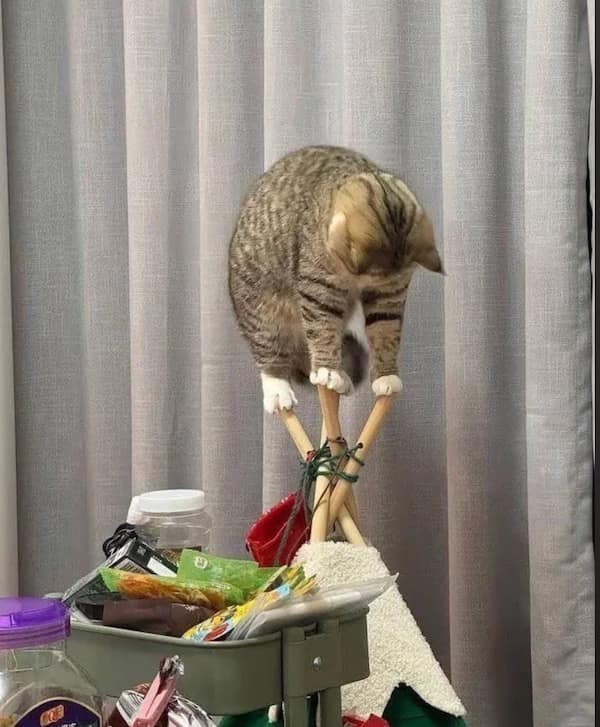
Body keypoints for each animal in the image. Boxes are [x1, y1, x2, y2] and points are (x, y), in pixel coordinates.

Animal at [228, 145, 443, 413]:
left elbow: (386, 330)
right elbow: (322, 327)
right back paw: (280, 388)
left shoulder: (390, 294)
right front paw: (327, 369)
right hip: (263, 312)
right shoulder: (319, 287)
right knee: (271, 356)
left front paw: (386, 376)